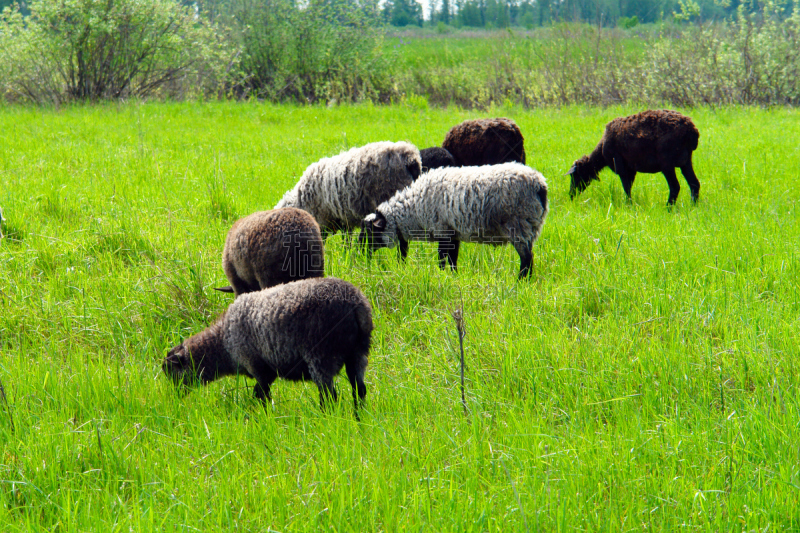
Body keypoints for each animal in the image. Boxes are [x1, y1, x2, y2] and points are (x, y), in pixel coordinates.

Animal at [165, 276, 376, 414]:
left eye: (173, 374)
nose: (175, 399)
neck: (222, 343)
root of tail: (355, 305)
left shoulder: (258, 367)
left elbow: (260, 396)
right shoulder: (268, 370)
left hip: (321, 355)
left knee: (329, 396)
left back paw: (326, 418)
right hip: (359, 352)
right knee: (359, 390)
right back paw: (359, 419)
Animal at [360, 162, 552, 278]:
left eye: (370, 232)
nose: (362, 256)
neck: (413, 210)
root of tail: (540, 185)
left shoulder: (442, 229)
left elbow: (442, 259)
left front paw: (441, 276)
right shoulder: (453, 233)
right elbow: (452, 260)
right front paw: (453, 278)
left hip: (519, 224)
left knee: (526, 258)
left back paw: (520, 282)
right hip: (530, 226)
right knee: (529, 257)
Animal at [568, 109, 700, 205]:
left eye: (575, 176)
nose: (571, 195)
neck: (601, 153)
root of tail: (692, 130)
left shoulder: (621, 167)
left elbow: (626, 188)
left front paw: (628, 205)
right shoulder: (631, 169)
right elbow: (629, 187)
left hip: (667, 162)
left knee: (675, 186)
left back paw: (668, 208)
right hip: (686, 161)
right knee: (694, 184)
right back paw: (693, 206)